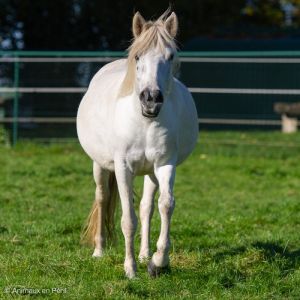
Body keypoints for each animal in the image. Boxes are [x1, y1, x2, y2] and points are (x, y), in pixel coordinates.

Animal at [77, 11, 198, 278]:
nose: (151, 99)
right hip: (99, 165)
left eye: (170, 56)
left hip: (150, 172)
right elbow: (127, 220)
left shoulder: (165, 164)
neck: (144, 121)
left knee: (146, 207)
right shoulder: (123, 167)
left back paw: (144, 255)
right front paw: (130, 269)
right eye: (138, 56)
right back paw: (99, 251)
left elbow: (165, 205)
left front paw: (157, 262)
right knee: (102, 198)